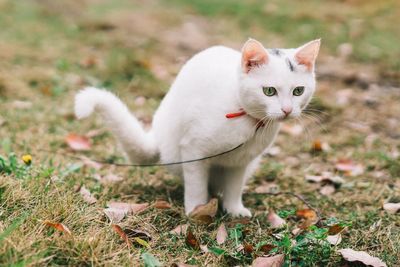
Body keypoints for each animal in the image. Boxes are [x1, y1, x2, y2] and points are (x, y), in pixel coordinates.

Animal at [75, 38, 320, 218]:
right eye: (269, 91)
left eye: (298, 91)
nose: (287, 110)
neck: (248, 120)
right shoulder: (194, 149)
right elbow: (196, 185)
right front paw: (196, 210)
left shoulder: (240, 162)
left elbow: (234, 187)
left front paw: (234, 210)